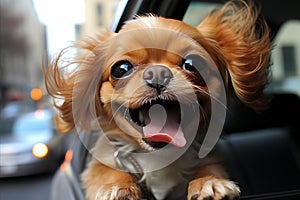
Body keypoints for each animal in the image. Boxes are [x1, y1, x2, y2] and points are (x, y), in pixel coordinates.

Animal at [44, 0, 272, 199]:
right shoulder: (102, 162)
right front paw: (117, 186)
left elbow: (207, 168)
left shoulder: (209, 159)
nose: (158, 73)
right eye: (121, 68)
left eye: (192, 64)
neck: (157, 157)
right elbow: (105, 170)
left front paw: (209, 182)